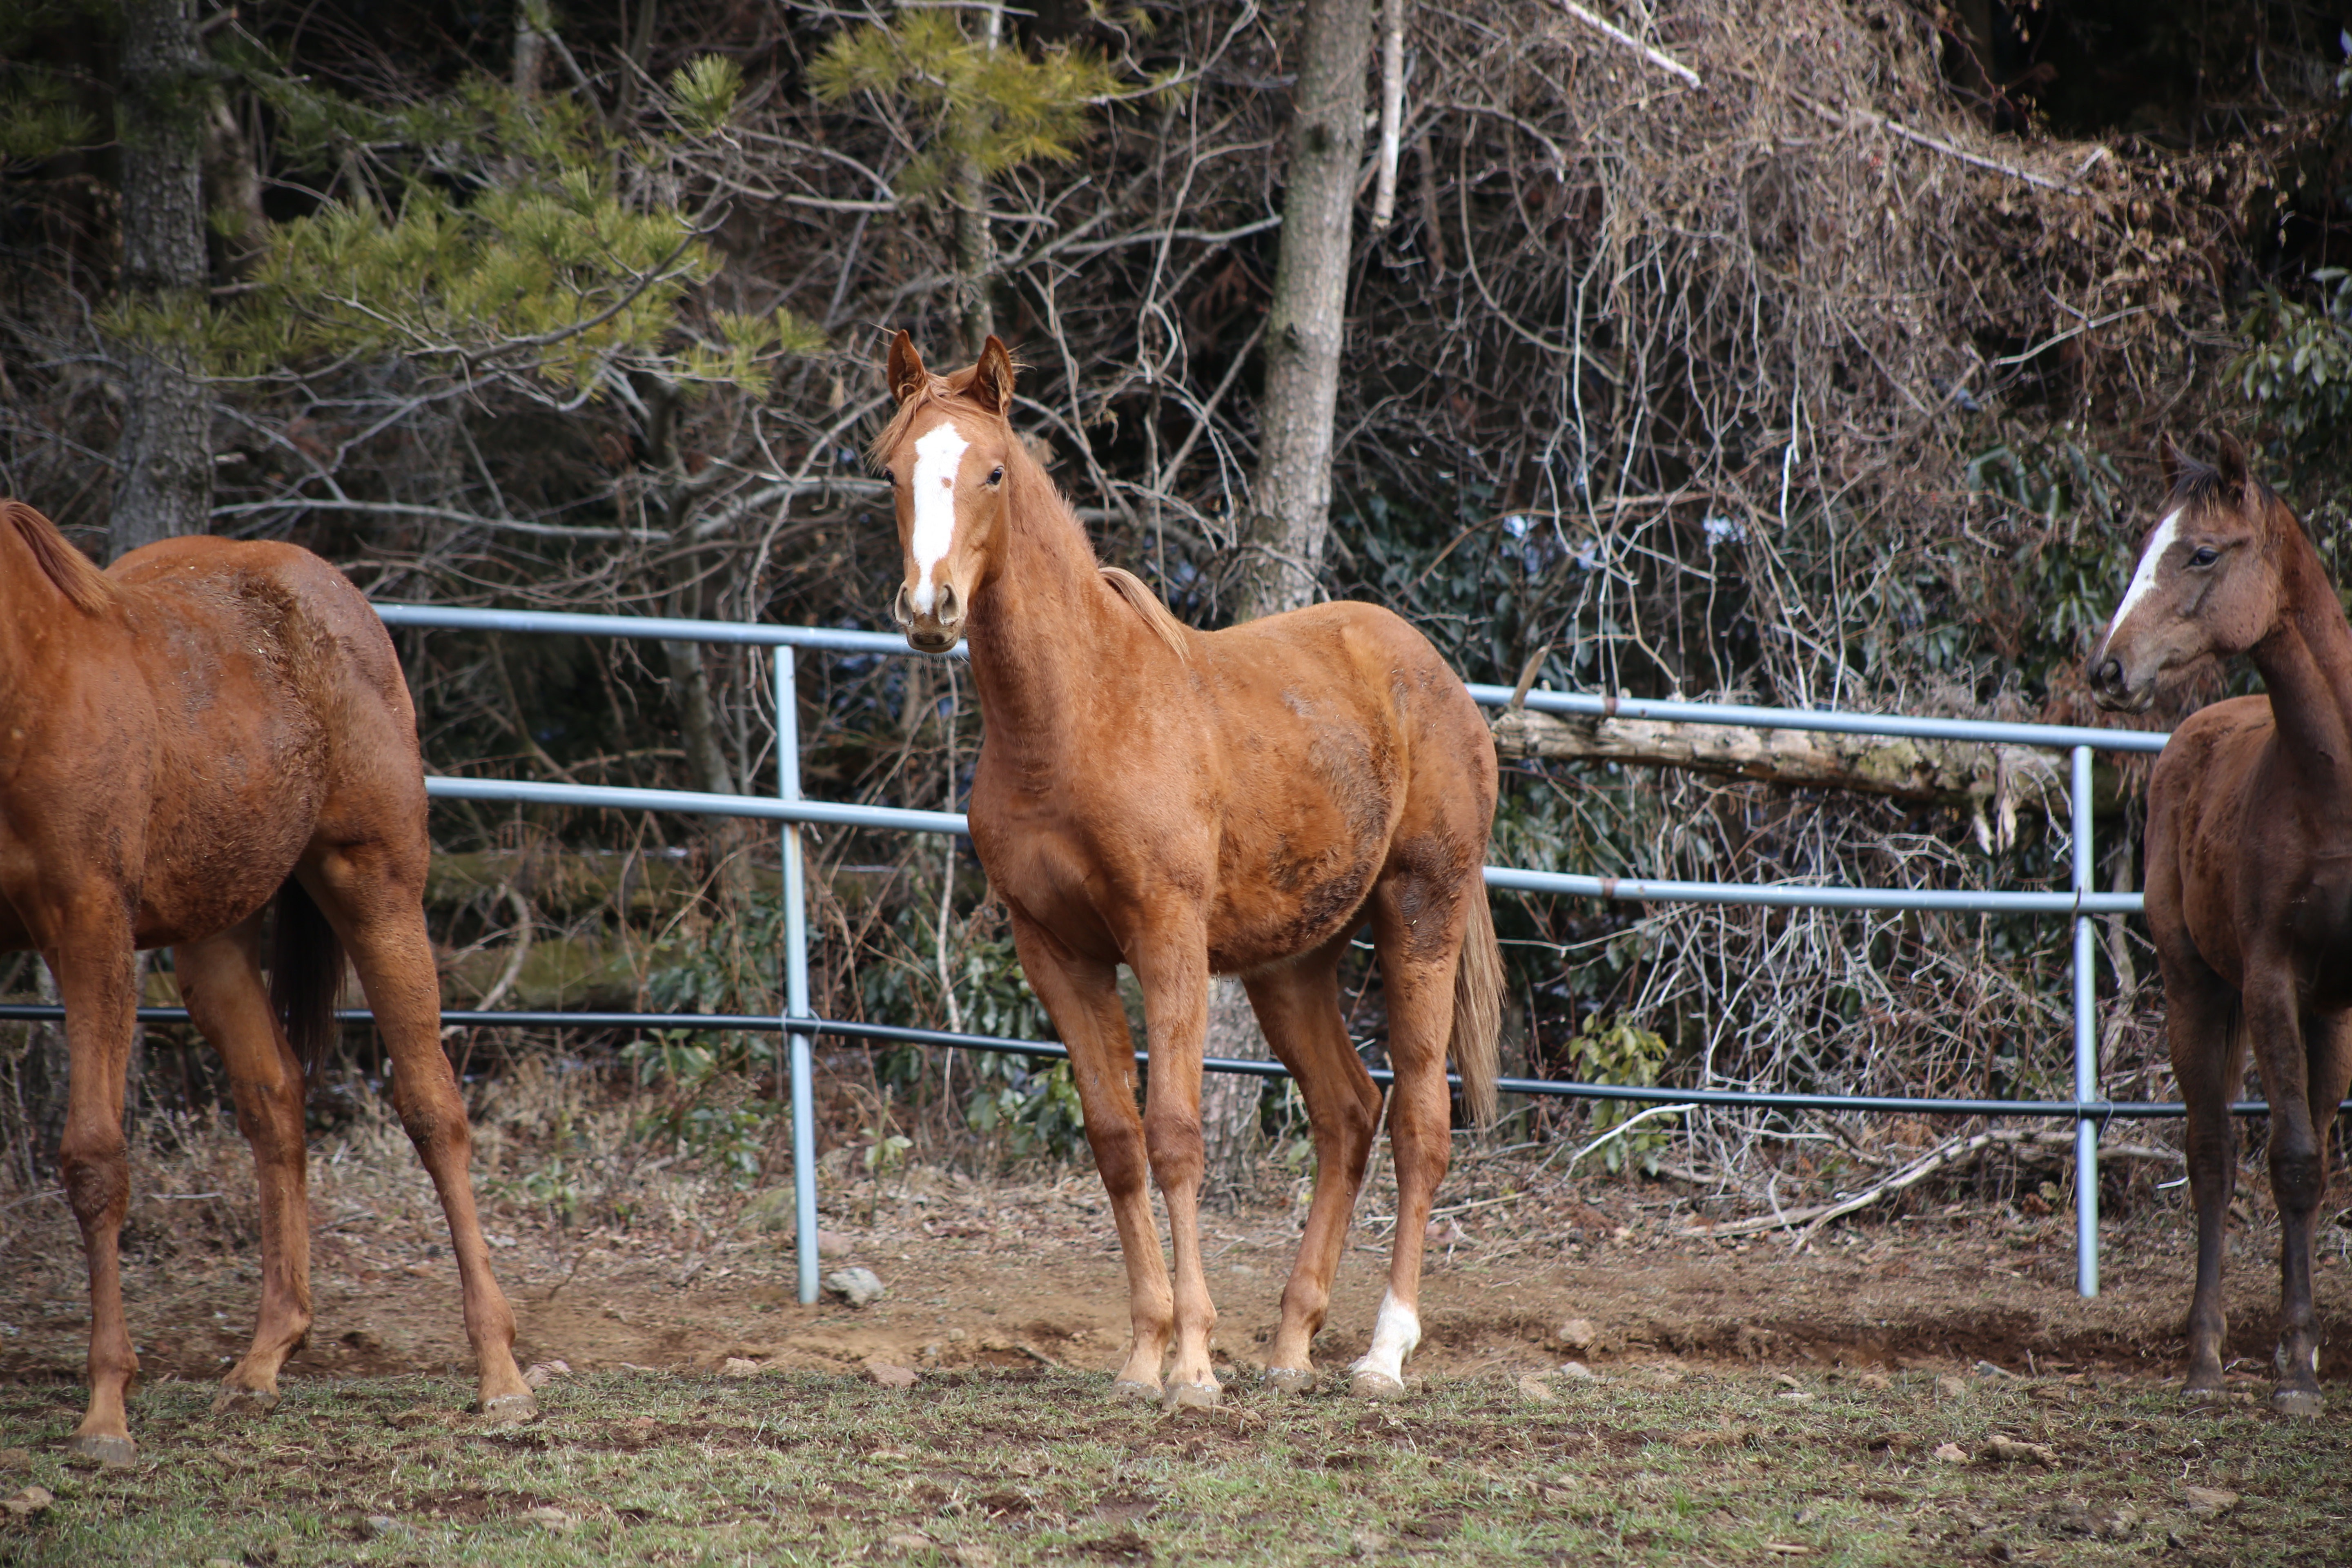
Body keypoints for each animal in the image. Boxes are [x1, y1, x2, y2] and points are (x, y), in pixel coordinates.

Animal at [0, 501, 534, 1457]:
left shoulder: (89, 925)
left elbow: (94, 1159)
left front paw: (105, 1414)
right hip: (214, 934)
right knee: (275, 1097)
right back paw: (263, 1360)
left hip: (375, 888)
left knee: (432, 1107)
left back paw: (500, 1375)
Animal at [875, 334, 1496, 1410]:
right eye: (891, 473)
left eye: (991, 473)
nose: (929, 607)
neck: (1074, 717)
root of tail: (1440, 681)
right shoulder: (1055, 950)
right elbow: (1117, 1141)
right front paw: (1142, 1357)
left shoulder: (1165, 936)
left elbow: (1174, 1134)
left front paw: (1195, 1365)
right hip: (1292, 963)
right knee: (1347, 1113)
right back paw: (1290, 1347)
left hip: (1422, 913)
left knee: (1420, 1118)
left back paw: (1381, 1355)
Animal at [2098, 435, 2352, 1420]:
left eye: (2202, 553)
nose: (2108, 669)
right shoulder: (2269, 979)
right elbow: (2290, 1162)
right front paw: (2293, 1371)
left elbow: (2313, 1164)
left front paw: (2301, 1357)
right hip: (2195, 991)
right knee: (2213, 1158)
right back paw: (2207, 1357)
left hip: (2325, 1014)